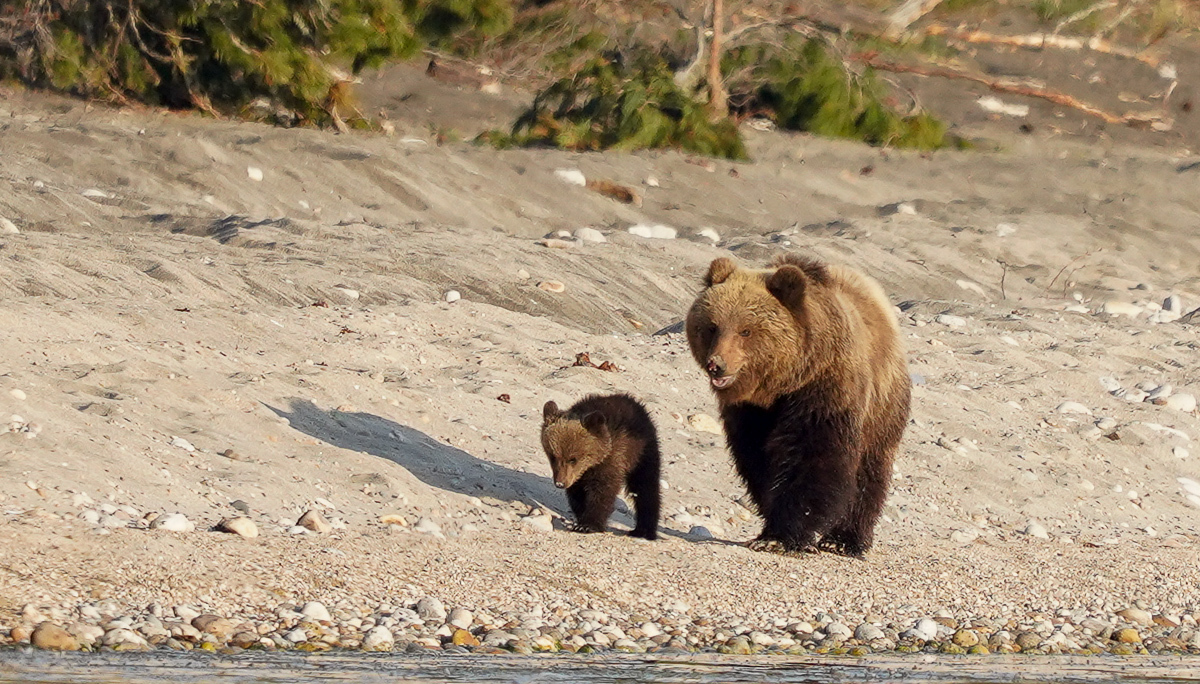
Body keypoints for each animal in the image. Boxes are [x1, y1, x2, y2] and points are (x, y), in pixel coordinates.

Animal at [686, 253, 907, 556]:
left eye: (746, 330)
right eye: (711, 326)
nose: (716, 364)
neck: (778, 385)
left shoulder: (823, 389)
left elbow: (812, 454)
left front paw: (780, 537)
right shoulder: (750, 413)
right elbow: (757, 459)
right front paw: (770, 524)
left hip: (881, 406)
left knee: (869, 470)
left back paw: (844, 540)